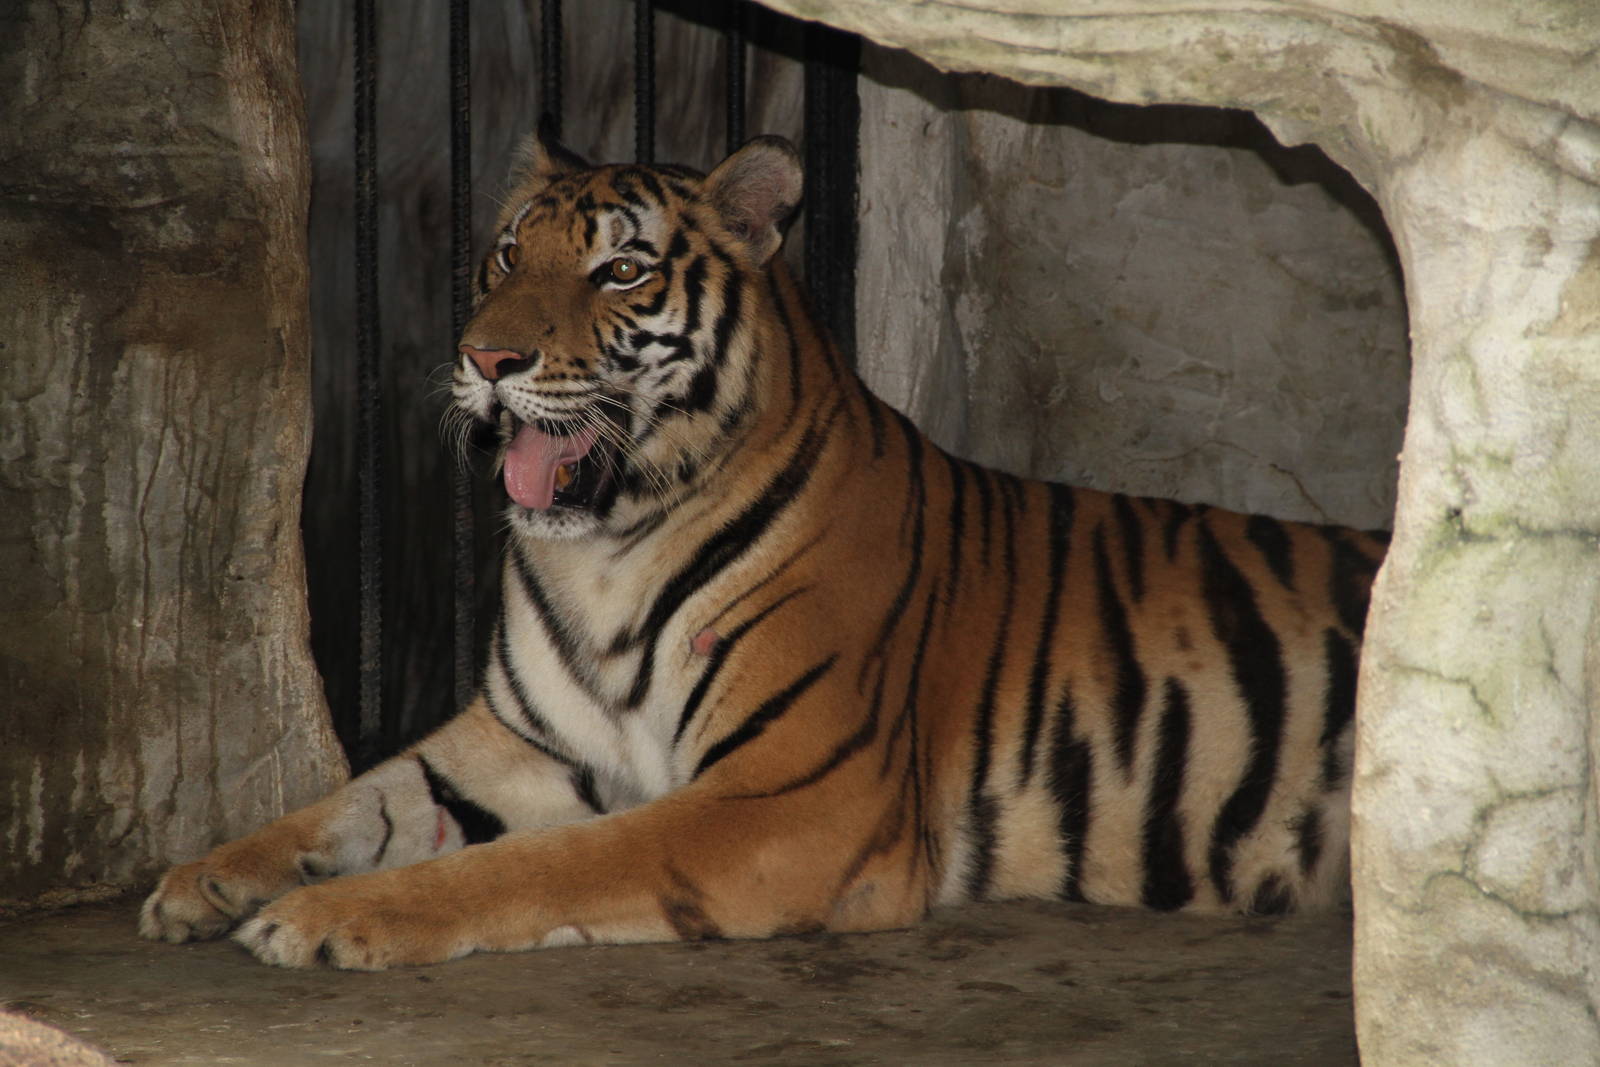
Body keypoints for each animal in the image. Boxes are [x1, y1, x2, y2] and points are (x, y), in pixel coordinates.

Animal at [140, 125, 1387, 970]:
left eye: (620, 269)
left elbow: (534, 862)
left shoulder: (790, 790)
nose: (484, 359)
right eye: (502, 257)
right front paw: (202, 879)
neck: (605, 546)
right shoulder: (519, 739)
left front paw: (322, 915)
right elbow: (355, 798)